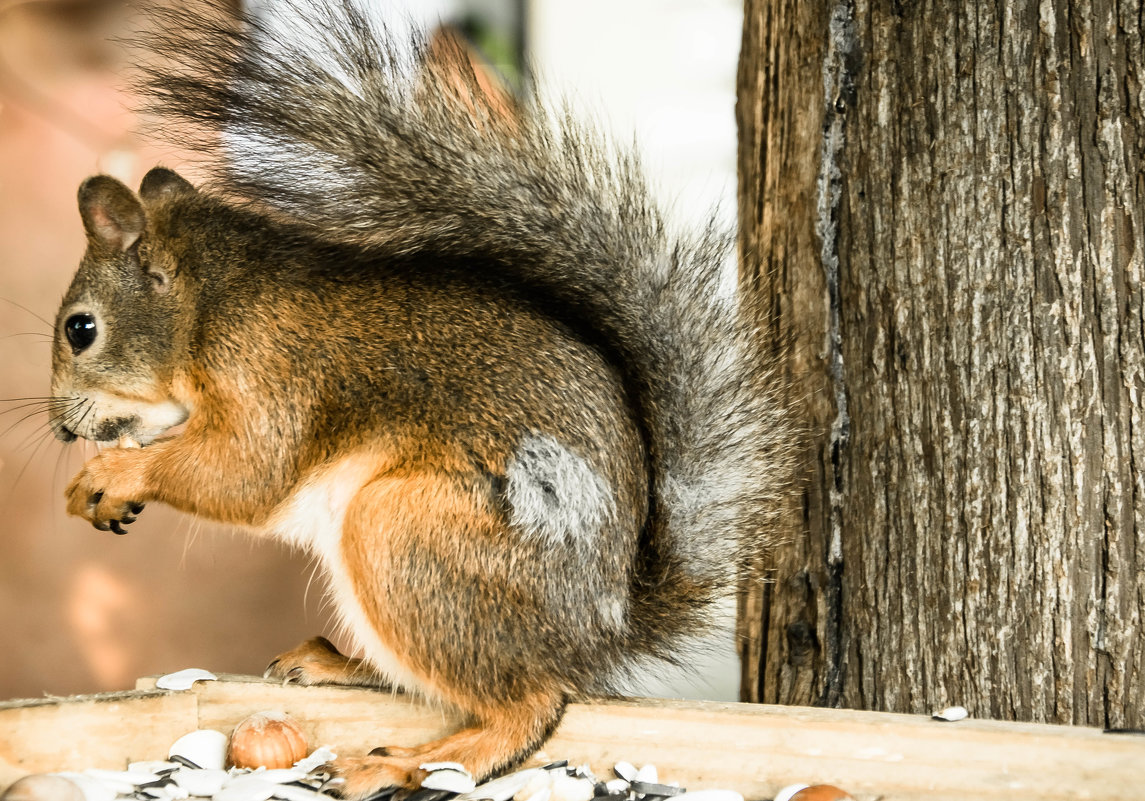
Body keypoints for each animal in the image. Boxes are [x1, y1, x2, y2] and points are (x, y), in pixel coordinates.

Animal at [46, 0, 796, 796]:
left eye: (81, 329)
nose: (61, 427)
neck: (210, 301)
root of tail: (597, 632)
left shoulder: (268, 374)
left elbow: (243, 474)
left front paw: (112, 475)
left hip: (404, 535)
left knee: (525, 705)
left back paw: (413, 759)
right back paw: (333, 663)